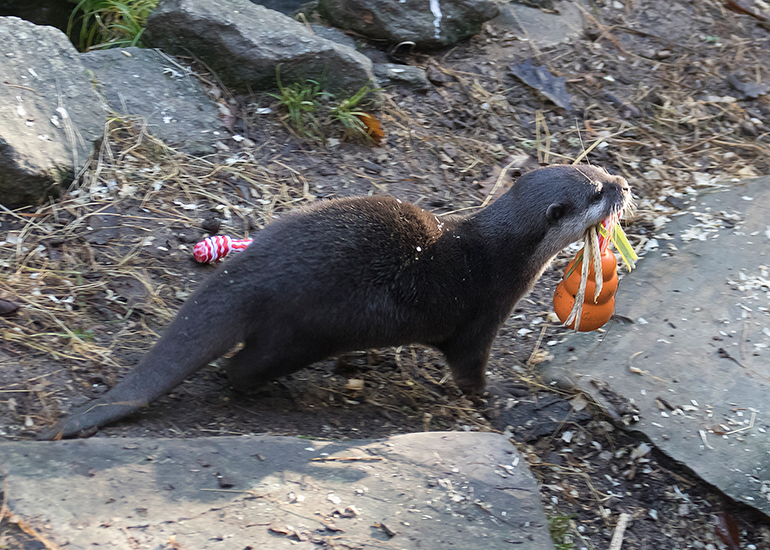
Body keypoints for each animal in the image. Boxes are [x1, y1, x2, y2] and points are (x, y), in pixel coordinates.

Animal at [39, 165, 632, 439]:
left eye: (599, 173)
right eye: (595, 194)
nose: (622, 183)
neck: (497, 254)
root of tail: (255, 271)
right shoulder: (480, 319)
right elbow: (470, 373)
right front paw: (494, 404)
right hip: (306, 329)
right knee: (241, 367)